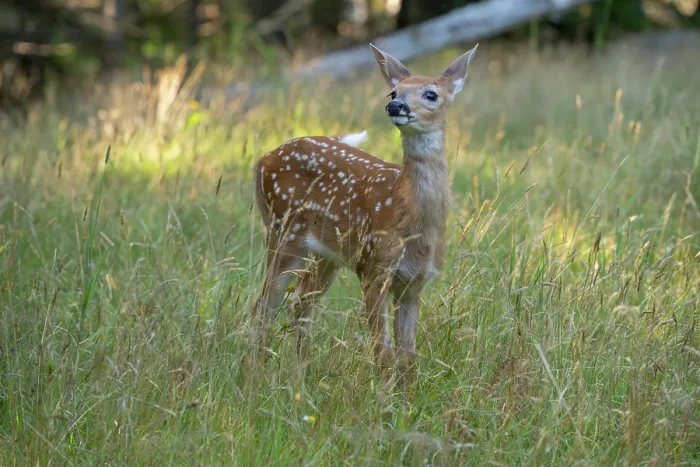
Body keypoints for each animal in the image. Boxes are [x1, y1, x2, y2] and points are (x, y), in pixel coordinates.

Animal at [249, 42, 478, 381]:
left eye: (431, 94)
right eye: (393, 91)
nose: (396, 106)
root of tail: (262, 160)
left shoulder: (414, 282)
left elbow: (408, 360)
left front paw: (406, 395)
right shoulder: (372, 267)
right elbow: (383, 354)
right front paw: (382, 395)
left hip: (326, 254)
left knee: (299, 303)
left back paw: (302, 376)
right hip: (283, 233)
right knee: (264, 306)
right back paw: (255, 374)